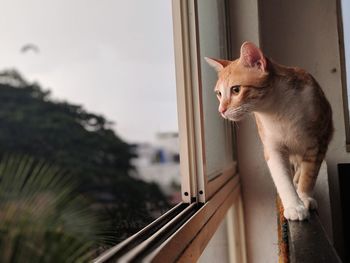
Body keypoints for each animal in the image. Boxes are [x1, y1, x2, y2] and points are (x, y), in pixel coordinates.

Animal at [205, 42, 334, 221]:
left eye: (236, 90)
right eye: (219, 94)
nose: (221, 110)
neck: (278, 110)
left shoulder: (317, 142)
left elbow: (310, 173)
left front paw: (304, 197)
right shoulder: (272, 147)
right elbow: (282, 178)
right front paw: (294, 205)